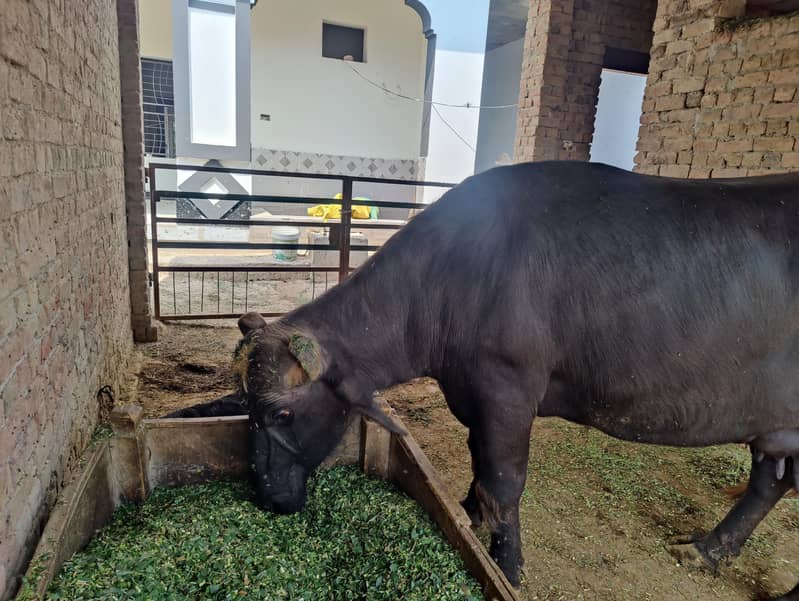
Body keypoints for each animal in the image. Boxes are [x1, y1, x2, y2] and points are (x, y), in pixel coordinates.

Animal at [170, 161, 799, 599]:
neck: (458, 273)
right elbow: (479, 469)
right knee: (769, 483)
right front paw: (469, 519)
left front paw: (508, 566)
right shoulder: (472, 394)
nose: (269, 498)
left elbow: (503, 482)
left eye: (281, 412)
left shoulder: (507, 390)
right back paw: (707, 550)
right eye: (244, 405)